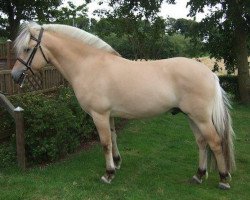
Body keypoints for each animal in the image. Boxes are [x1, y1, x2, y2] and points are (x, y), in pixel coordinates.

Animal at [11, 21, 234, 189]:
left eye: (28, 49)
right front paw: (117, 163)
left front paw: (108, 174)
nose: (15, 76)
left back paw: (223, 179)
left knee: (214, 142)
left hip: (201, 118)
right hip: (191, 117)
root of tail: (211, 74)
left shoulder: (99, 115)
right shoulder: (109, 115)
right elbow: (114, 138)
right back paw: (199, 175)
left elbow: (105, 143)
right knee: (202, 142)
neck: (89, 65)